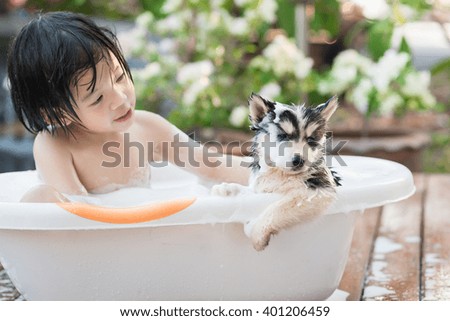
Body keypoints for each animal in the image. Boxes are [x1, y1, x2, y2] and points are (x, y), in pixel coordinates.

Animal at [211, 94, 342, 251]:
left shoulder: (318, 192)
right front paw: (227, 188)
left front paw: (256, 233)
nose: (299, 160)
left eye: (311, 139)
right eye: (283, 136)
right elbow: (248, 191)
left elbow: (278, 209)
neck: (281, 174)